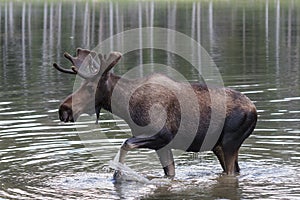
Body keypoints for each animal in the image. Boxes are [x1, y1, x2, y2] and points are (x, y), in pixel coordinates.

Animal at [52, 48, 258, 178]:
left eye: (90, 88)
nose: (64, 109)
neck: (126, 107)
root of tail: (254, 111)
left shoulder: (162, 135)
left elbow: (125, 144)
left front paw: (117, 175)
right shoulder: (162, 145)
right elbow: (170, 173)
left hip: (230, 142)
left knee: (231, 173)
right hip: (219, 146)